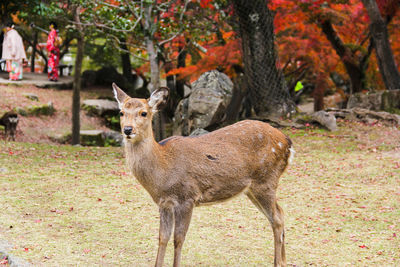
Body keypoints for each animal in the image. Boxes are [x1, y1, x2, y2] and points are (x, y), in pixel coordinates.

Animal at [112, 82, 294, 266]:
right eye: (121, 112)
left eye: (143, 113)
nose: (128, 129)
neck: (162, 171)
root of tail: (287, 142)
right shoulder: (164, 203)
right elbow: (163, 238)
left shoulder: (187, 197)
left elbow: (178, 239)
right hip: (253, 189)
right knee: (279, 213)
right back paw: (283, 260)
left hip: (266, 180)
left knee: (277, 218)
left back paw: (279, 262)